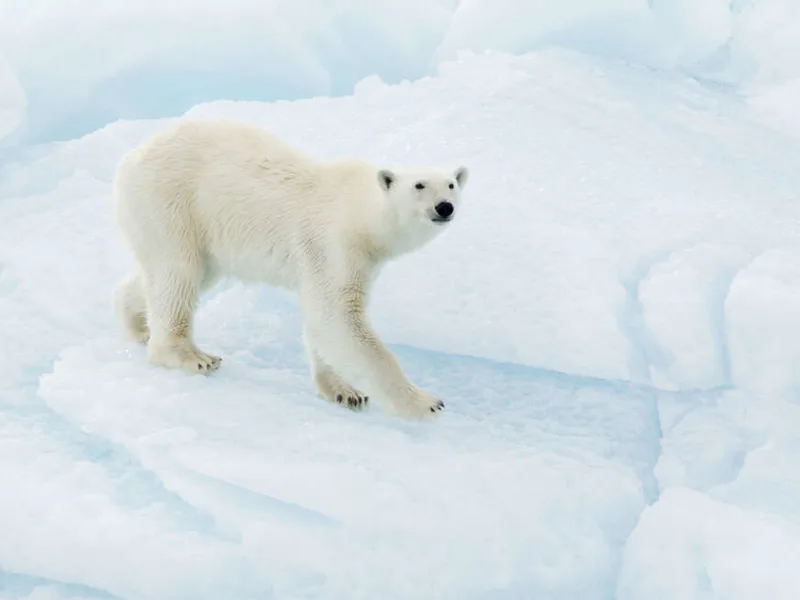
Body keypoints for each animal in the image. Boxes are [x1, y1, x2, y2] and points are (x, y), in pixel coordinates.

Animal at [112, 118, 469, 420]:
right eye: (419, 185)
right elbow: (337, 317)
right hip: (171, 202)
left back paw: (137, 325)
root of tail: (131, 156)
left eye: (452, 184)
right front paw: (425, 403)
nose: (444, 207)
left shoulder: (356, 262)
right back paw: (192, 356)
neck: (360, 213)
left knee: (175, 275)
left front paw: (345, 392)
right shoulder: (335, 244)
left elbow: (323, 320)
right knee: (178, 272)